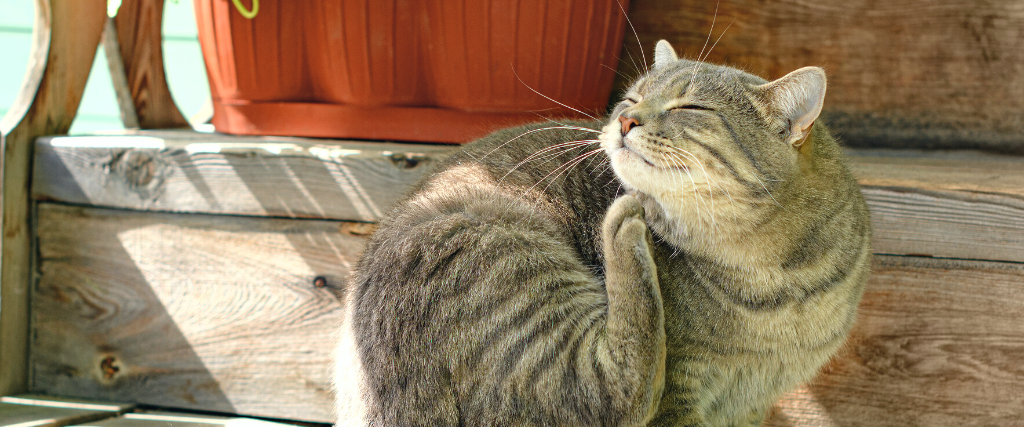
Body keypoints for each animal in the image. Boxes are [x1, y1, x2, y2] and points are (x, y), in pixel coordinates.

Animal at [333, 38, 872, 423]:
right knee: (614, 392)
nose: (624, 119)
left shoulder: (751, 405)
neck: (772, 282)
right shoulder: (681, 389)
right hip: (506, 247)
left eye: (690, 108)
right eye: (631, 98)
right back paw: (623, 223)